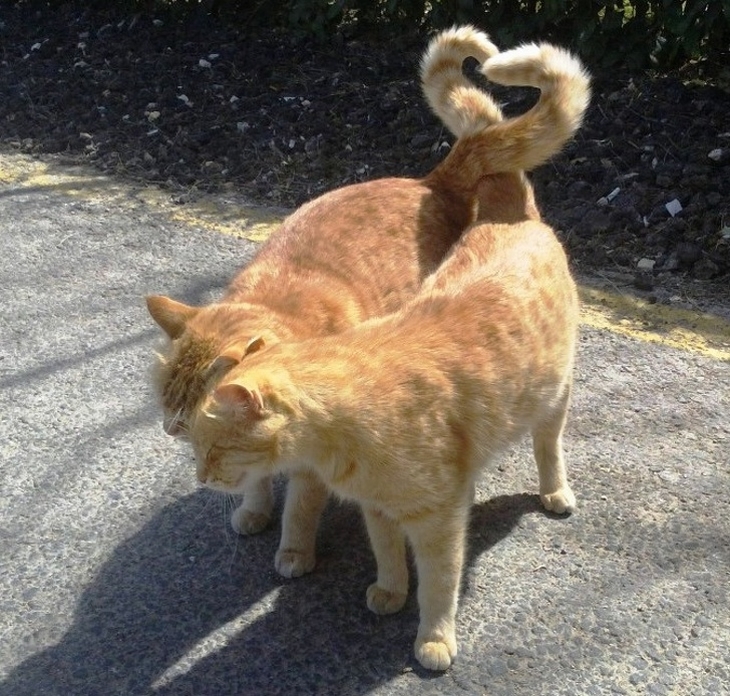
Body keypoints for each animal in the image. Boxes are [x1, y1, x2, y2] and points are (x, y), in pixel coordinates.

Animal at [145, 27, 588, 580]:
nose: (169, 431)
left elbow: (300, 507)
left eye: (184, 416)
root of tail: (430, 179)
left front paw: (293, 551)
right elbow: (257, 479)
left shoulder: (314, 464)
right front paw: (253, 508)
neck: (280, 311)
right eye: (171, 409)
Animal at [188, 213, 580, 676]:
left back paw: (555, 491)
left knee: (548, 448)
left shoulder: (438, 524)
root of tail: (522, 220)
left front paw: (434, 638)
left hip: (554, 402)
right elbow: (387, 553)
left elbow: (438, 584)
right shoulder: (377, 507)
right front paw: (391, 591)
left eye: (212, 450)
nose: (201, 477)